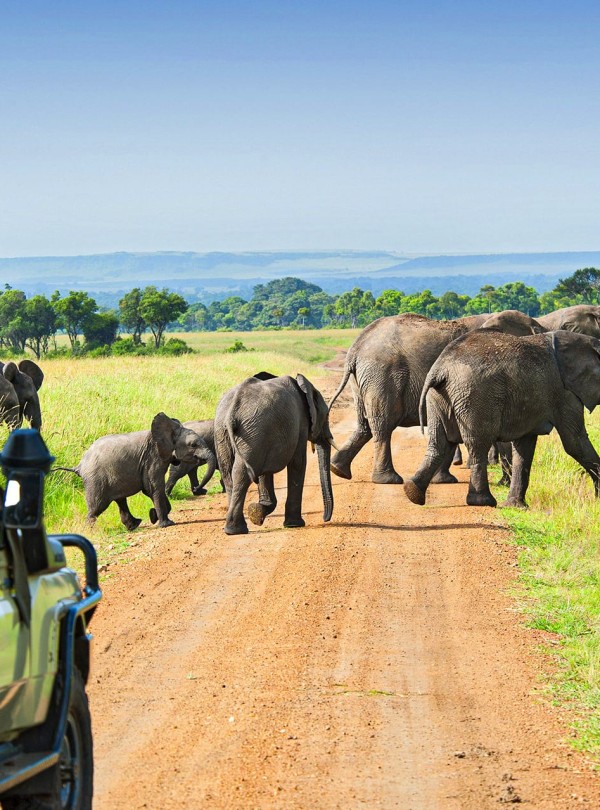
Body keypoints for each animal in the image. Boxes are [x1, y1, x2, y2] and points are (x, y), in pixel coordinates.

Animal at [60, 410, 216, 532]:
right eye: (193, 445)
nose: (196, 489)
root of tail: (79, 465)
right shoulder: (153, 458)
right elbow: (153, 488)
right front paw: (166, 524)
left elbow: (150, 490)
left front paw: (153, 516)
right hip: (95, 480)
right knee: (96, 508)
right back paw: (89, 533)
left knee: (120, 500)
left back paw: (134, 525)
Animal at [400, 326, 600, 504]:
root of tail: (440, 368)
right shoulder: (565, 393)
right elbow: (574, 442)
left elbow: (524, 448)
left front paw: (516, 506)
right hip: (476, 395)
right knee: (478, 445)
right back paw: (483, 501)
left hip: (439, 397)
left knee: (439, 443)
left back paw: (412, 492)